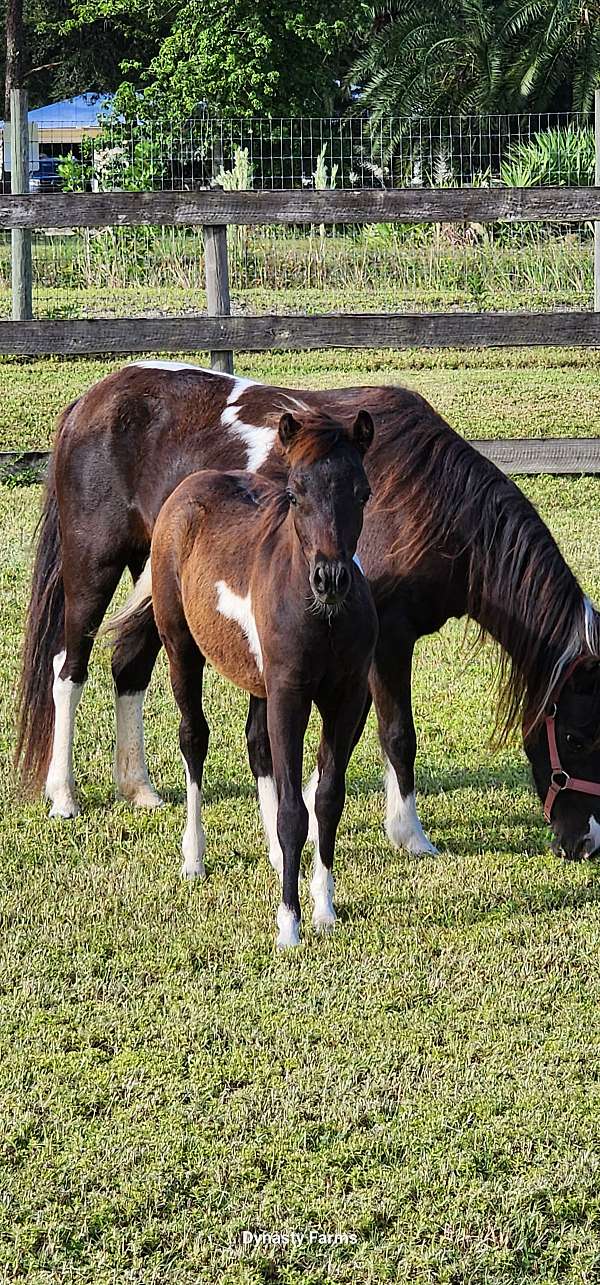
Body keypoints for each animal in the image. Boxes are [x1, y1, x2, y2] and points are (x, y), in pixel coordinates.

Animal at [14, 362, 600, 863]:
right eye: (575, 737)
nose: (585, 844)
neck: (428, 500)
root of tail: (88, 402)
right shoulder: (386, 644)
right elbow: (396, 734)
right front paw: (409, 835)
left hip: (156, 584)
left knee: (129, 663)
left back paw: (138, 787)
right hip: (93, 569)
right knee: (69, 669)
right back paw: (63, 795)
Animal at [101, 411, 377, 945]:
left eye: (362, 492)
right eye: (295, 493)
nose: (330, 579)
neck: (324, 619)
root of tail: (187, 489)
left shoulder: (345, 698)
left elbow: (327, 800)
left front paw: (325, 909)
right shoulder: (290, 697)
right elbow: (295, 811)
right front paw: (289, 922)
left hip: (257, 681)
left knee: (256, 744)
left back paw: (271, 855)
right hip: (182, 650)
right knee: (194, 738)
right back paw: (194, 858)